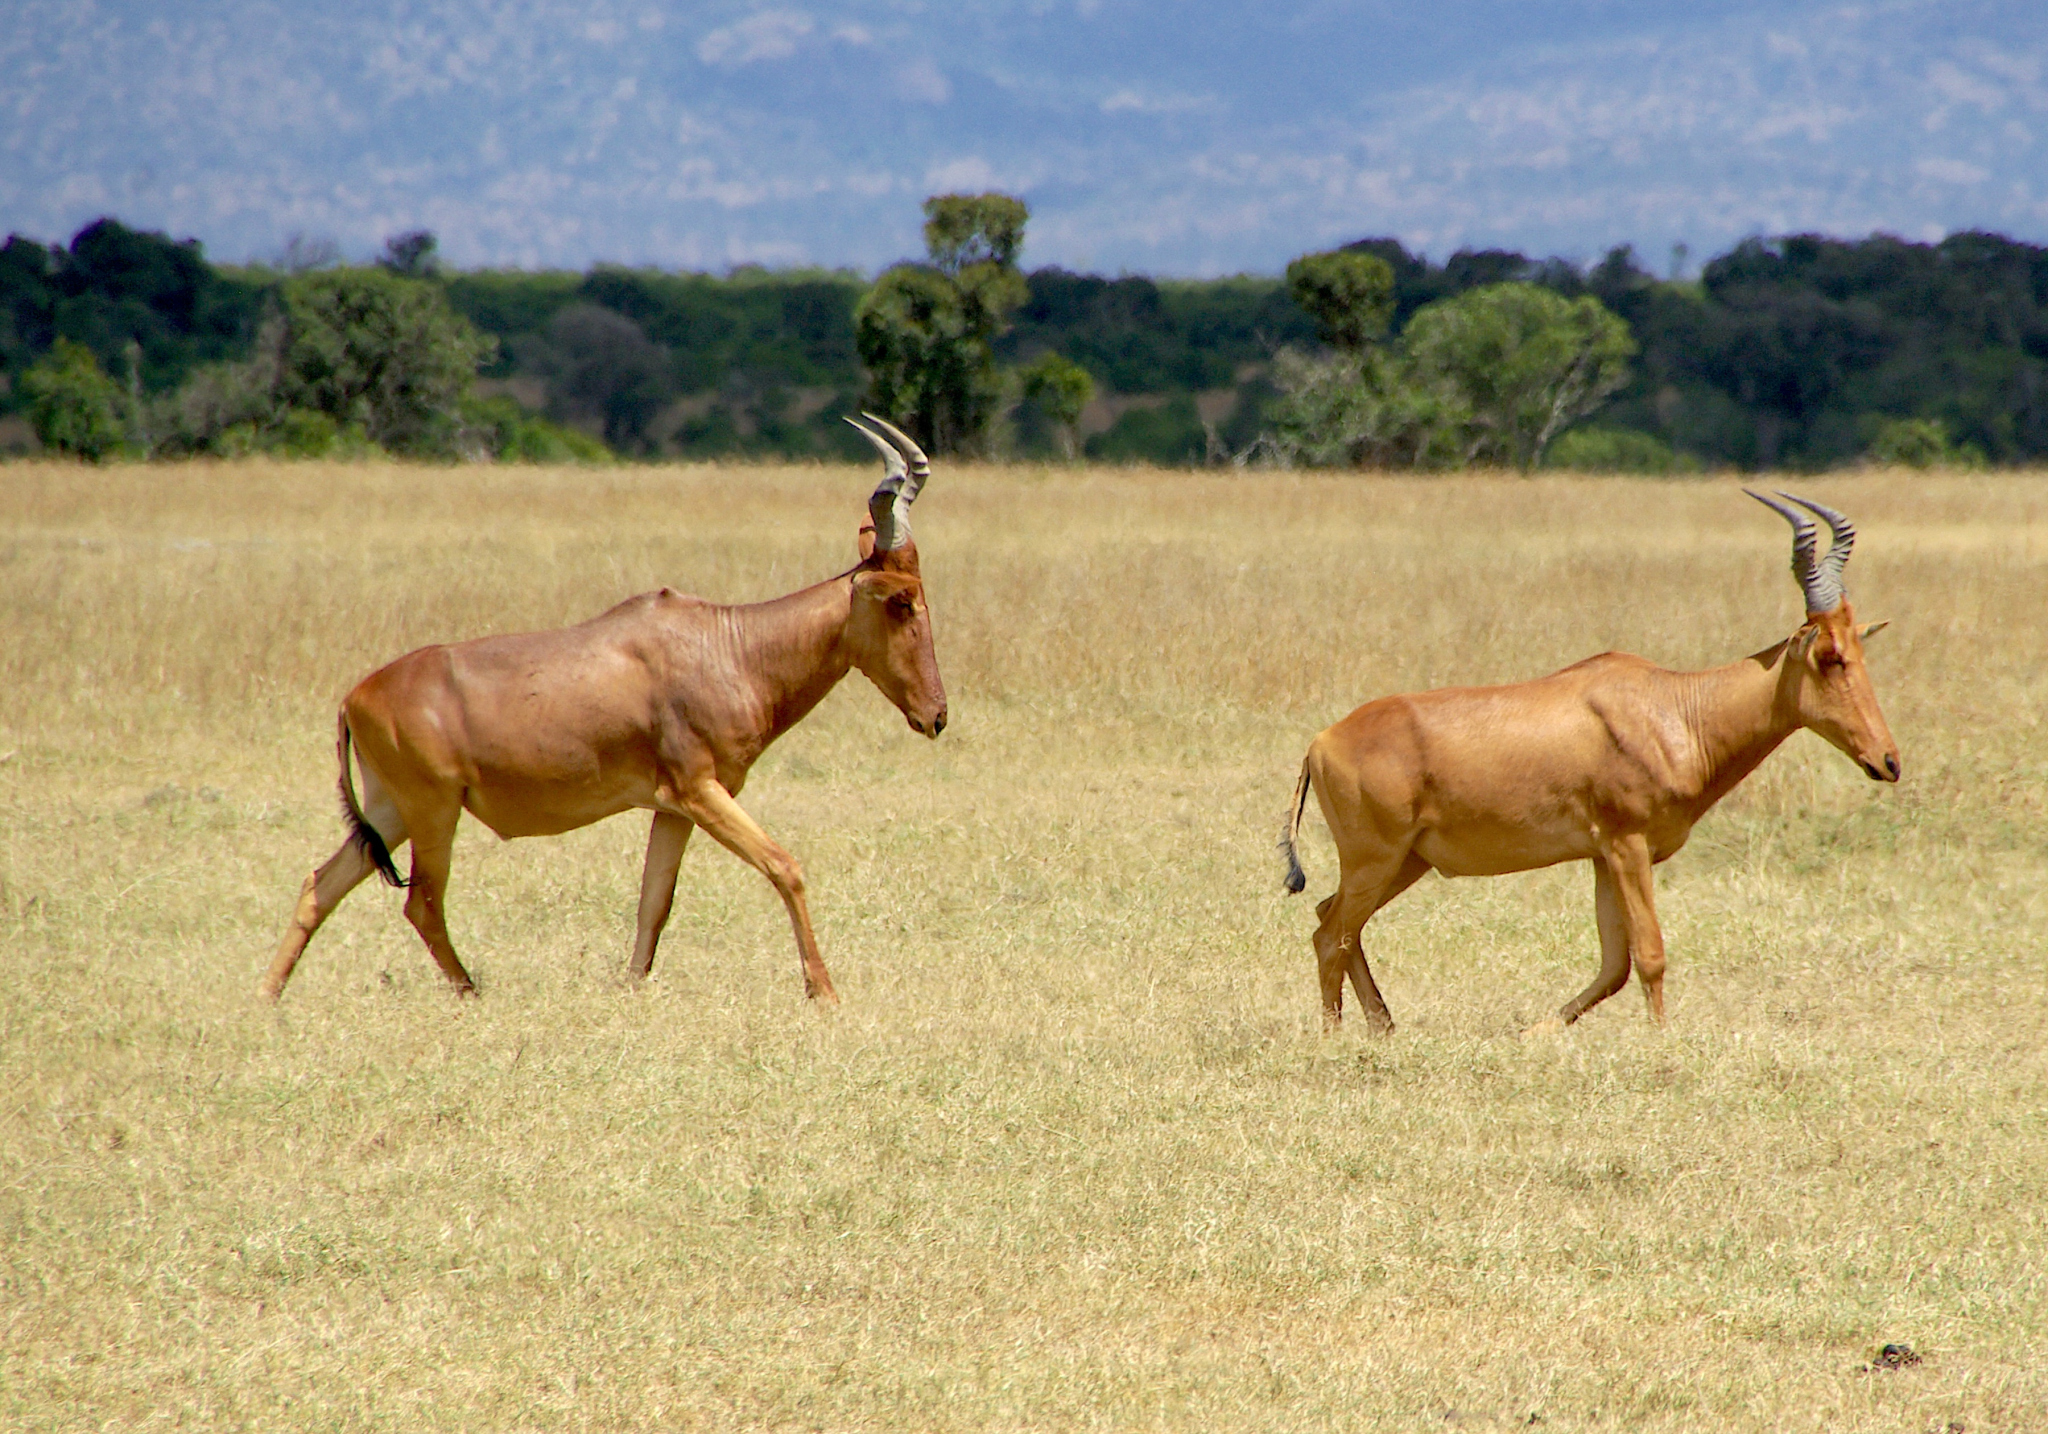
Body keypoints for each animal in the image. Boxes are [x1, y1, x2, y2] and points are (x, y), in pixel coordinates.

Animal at [260, 409, 946, 1003]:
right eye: (901, 600)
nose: (935, 715)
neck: (726, 644)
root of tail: (355, 698)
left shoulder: (675, 806)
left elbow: (654, 902)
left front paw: (632, 990)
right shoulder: (701, 791)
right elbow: (786, 866)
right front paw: (823, 992)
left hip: (391, 810)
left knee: (320, 885)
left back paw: (268, 997)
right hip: (433, 812)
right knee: (422, 902)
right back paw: (472, 993)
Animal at [1277, 493, 1900, 1032]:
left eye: (1860, 649)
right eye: (1829, 655)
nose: (1887, 761)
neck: (1670, 706)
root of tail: (1320, 742)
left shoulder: (1602, 856)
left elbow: (1613, 966)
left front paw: (1534, 1033)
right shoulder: (1628, 846)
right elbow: (1649, 953)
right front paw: (1661, 1043)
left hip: (1406, 862)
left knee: (1332, 919)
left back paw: (1383, 1027)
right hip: (1375, 859)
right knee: (1330, 934)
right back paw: (1334, 1039)